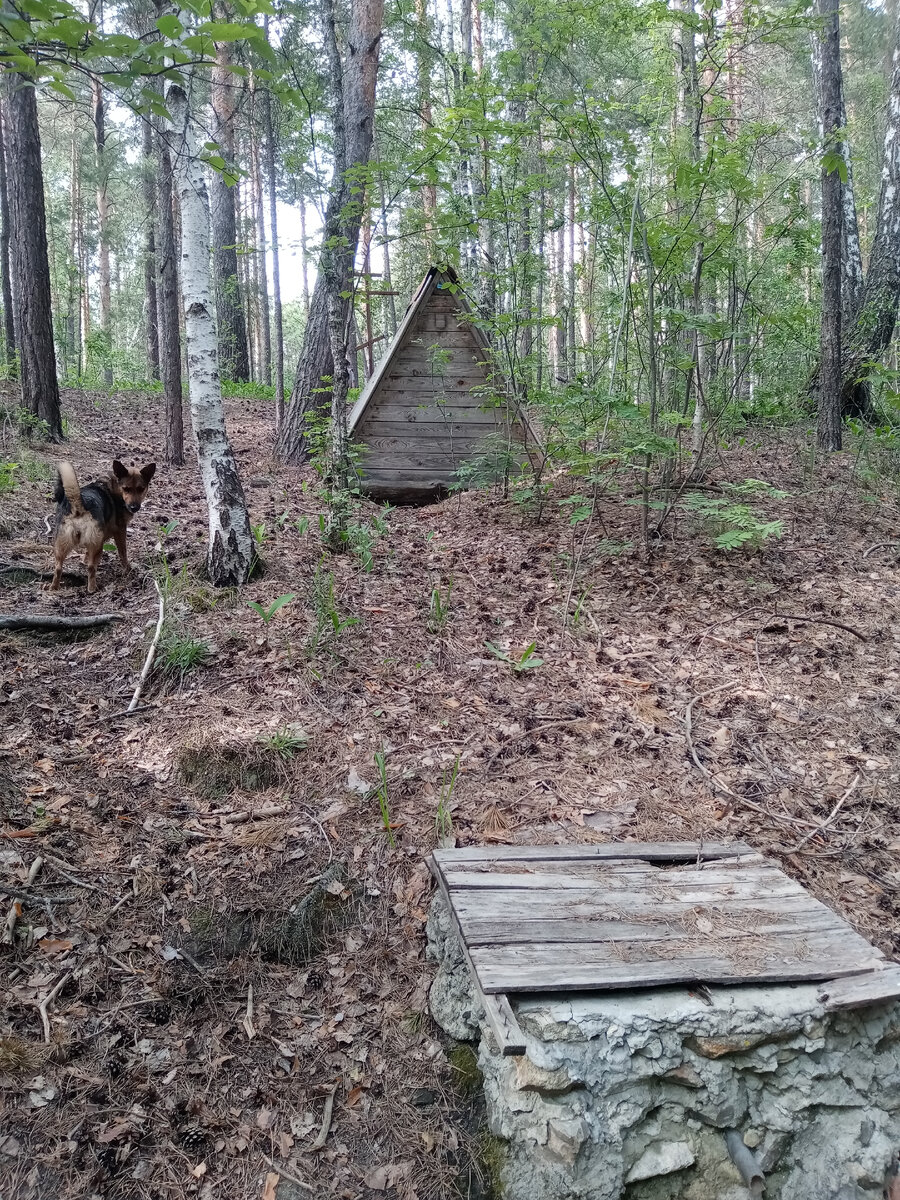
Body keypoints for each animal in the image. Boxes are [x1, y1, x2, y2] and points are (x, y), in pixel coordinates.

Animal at [50, 458, 156, 590]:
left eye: (141, 489)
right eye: (126, 489)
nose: (134, 507)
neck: (115, 486)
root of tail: (79, 504)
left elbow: (86, 555)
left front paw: (83, 561)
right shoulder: (120, 531)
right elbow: (123, 553)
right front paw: (127, 569)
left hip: (62, 544)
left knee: (58, 568)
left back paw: (53, 587)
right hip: (97, 546)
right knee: (91, 568)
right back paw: (92, 589)